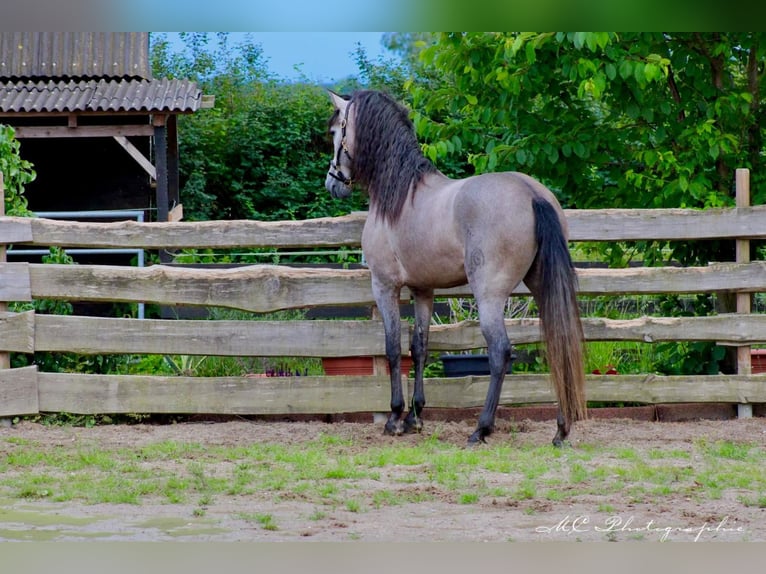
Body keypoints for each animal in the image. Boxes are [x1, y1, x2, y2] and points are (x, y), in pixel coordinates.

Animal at [324, 91, 588, 450]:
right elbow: (419, 348)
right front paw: (415, 417)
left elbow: (393, 349)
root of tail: (532, 194)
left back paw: (481, 429)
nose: (332, 182)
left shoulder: (384, 286)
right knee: (558, 343)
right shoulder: (423, 290)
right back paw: (561, 430)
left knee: (500, 351)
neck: (401, 193)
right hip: (542, 285)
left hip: (488, 294)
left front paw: (394, 418)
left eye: (335, 131)